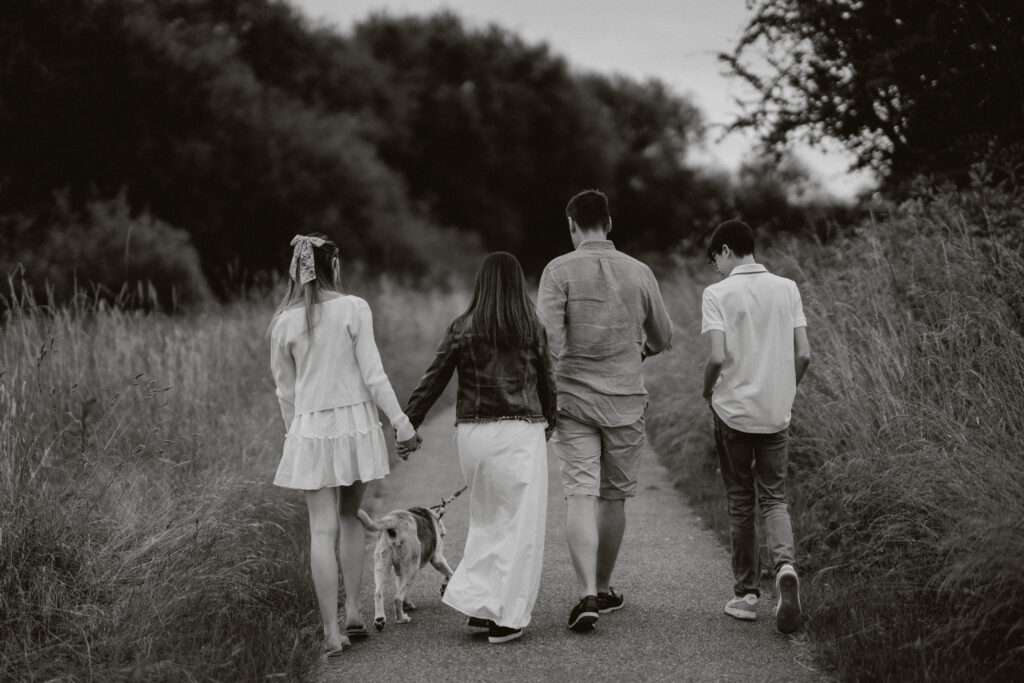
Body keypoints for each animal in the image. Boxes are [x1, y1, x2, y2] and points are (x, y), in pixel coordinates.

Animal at [360, 501, 456, 630]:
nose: (444, 533)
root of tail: (394, 520)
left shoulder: (399, 571)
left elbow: (403, 590)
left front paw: (407, 604)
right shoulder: (437, 559)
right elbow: (450, 573)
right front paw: (444, 587)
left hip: (382, 565)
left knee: (378, 593)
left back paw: (379, 620)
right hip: (412, 568)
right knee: (397, 598)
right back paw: (401, 619)